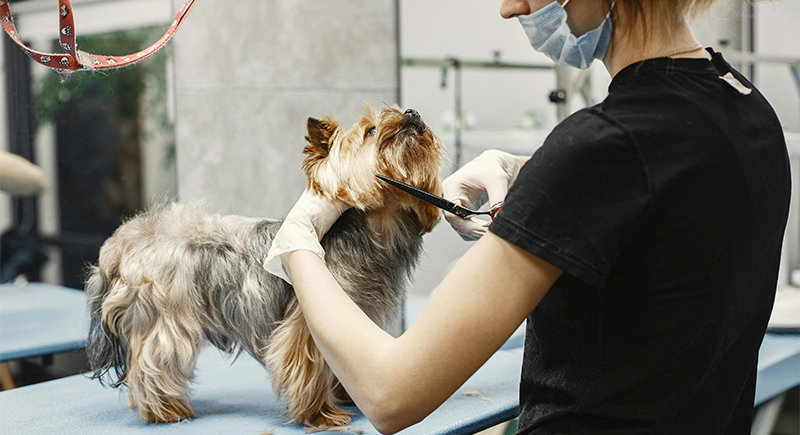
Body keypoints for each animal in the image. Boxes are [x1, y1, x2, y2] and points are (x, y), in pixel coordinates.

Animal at [85, 105, 443, 426]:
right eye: (371, 131)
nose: (412, 112)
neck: (373, 230)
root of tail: (124, 241)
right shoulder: (307, 324)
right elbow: (309, 364)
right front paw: (320, 415)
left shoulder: (356, 316)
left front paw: (348, 393)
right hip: (164, 316)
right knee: (153, 359)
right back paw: (165, 410)